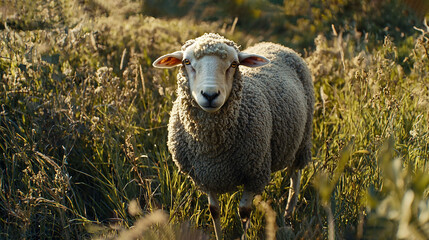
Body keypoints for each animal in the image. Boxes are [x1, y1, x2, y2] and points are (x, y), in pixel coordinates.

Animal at [152, 32, 312, 239]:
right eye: (186, 62)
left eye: (234, 64)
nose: (210, 95)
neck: (212, 149)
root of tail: (275, 44)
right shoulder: (204, 175)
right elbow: (214, 210)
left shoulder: (254, 173)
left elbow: (244, 212)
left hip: (302, 139)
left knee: (295, 175)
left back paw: (289, 214)